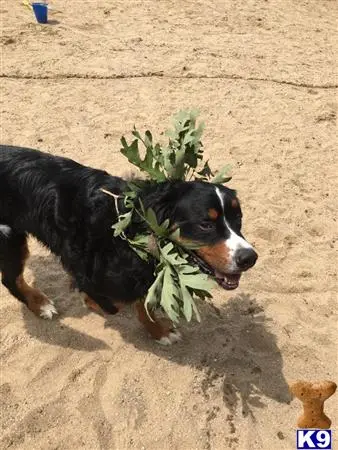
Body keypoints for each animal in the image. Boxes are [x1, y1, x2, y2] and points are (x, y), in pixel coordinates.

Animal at [0, 144, 256, 344]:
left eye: (238, 218)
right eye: (205, 224)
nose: (249, 258)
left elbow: (143, 303)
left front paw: (158, 330)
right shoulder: (89, 267)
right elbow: (115, 301)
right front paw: (88, 298)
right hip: (9, 238)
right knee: (11, 280)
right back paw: (40, 304)